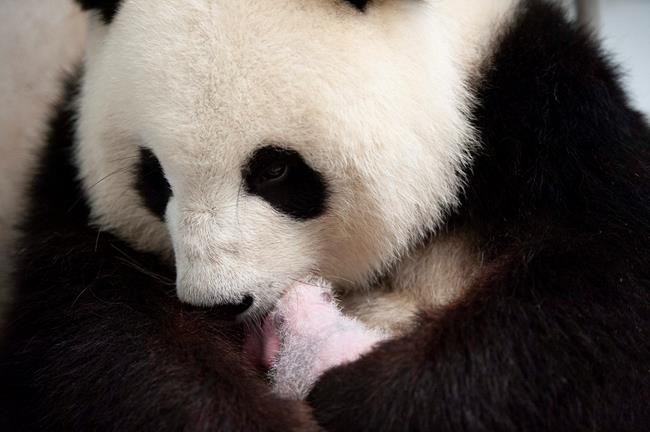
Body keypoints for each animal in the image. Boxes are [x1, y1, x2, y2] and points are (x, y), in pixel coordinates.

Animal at [1, 0, 649, 430]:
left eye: (274, 170)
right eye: (153, 177)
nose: (220, 303)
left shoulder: (546, 118)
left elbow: (592, 301)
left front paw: (355, 397)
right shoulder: (64, 182)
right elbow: (100, 334)